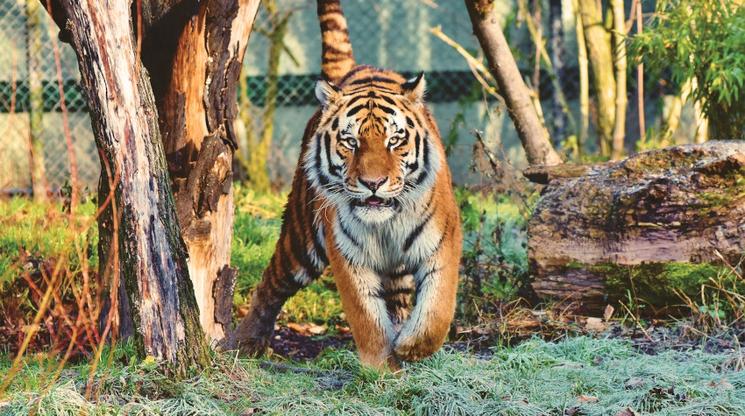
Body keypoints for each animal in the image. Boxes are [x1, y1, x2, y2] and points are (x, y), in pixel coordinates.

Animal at [227, 0, 461, 369]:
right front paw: (381, 366)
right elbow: (366, 318)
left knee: (398, 299)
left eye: (395, 140)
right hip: (301, 239)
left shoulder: (443, 242)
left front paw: (410, 347)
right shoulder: (348, 255)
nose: (373, 183)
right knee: (271, 283)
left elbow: (438, 310)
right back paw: (246, 342)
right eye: (351, 142)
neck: (385, 224)